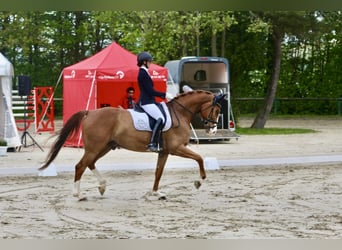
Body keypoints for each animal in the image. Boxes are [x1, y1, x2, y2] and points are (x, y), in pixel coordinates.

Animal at [39, 90, 227, 199]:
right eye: (216, 109)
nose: (212, 131)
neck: (180, 113)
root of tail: (89, 112)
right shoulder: (176, 148)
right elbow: (199, 158)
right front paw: (199, 182)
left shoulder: (164, 152)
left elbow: (158, 172)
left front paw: (156, 193)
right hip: (95, 147)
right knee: (80, 166)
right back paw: (78, 194)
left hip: (105, 146)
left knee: (89, 163)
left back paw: (102, 186)